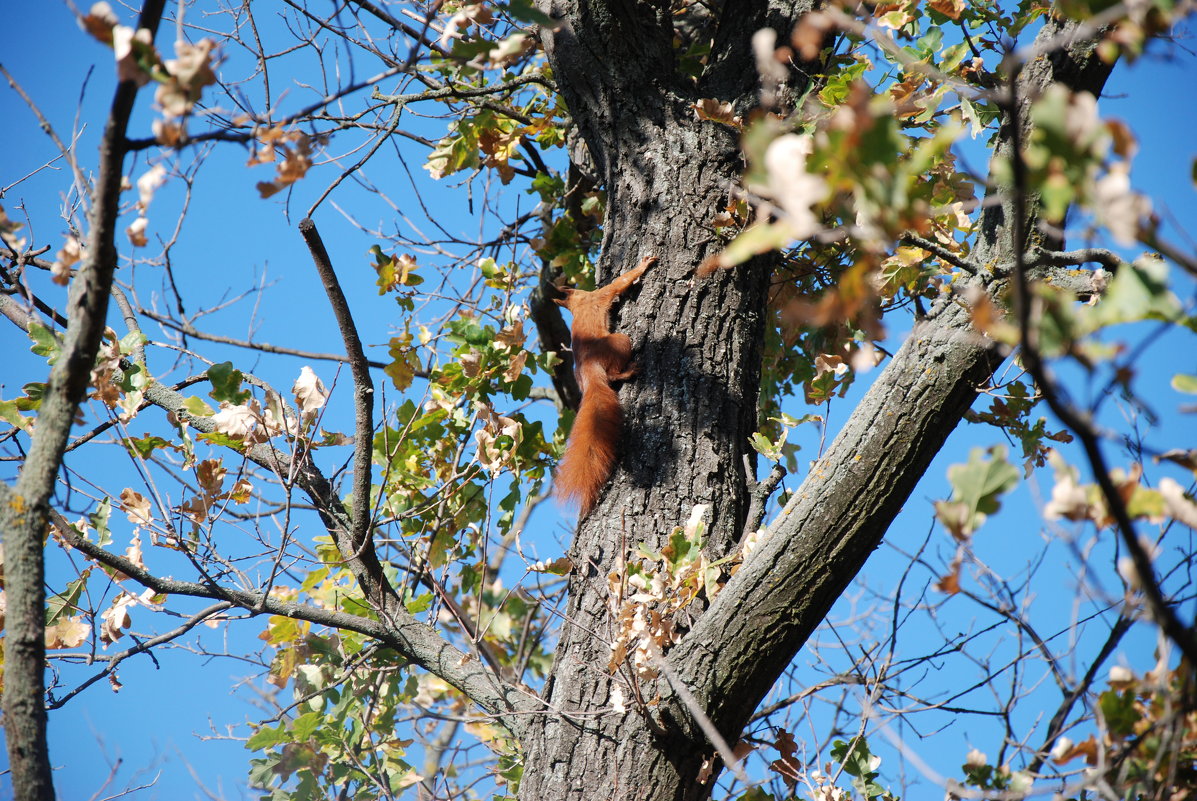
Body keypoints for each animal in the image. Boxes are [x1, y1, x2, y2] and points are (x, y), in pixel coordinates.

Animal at [550, 257, 655, 519]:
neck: (578, 303)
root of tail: (590, 374)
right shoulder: (599, 295)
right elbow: (619, 283)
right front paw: (642, 267)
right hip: (619, 342)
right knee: (614, 372)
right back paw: (627, 371)